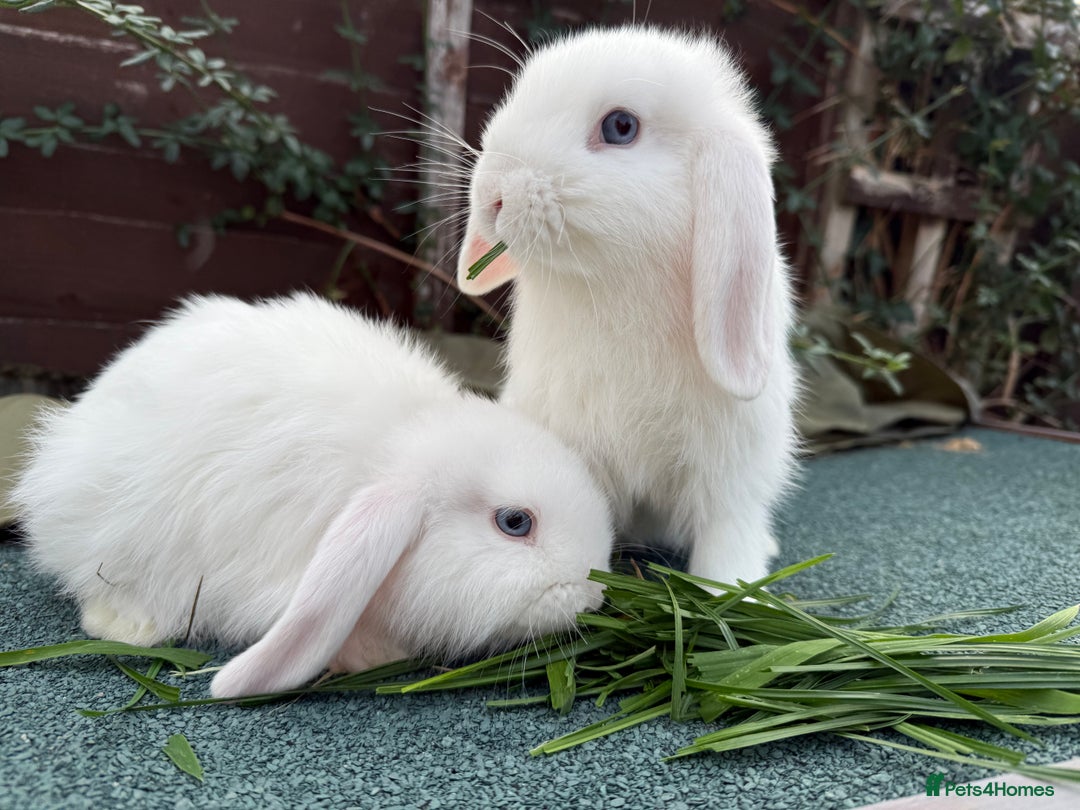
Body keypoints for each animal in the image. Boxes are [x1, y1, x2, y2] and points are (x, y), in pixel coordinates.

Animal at [455, 26, 799, 586]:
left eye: (621, 127)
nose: (492, 194)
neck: (610, 290)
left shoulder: (731, 474)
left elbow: (726, 539)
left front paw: (731, 592)